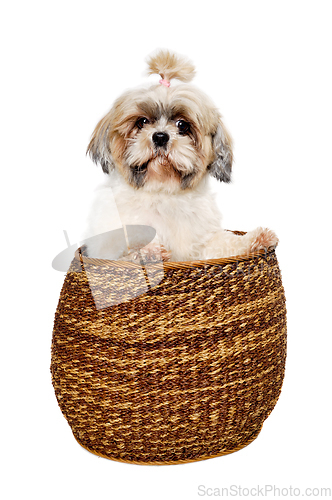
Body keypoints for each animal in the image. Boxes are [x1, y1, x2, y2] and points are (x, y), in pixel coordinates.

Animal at [83, 50, 278, 262]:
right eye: (142, 122)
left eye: (182, 125)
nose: (160, 136)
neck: (162, 192)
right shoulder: (105, 250)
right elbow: (128, 247)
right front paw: (150, 252)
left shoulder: (202, 244)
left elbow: (226, 243)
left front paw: (254, 239)